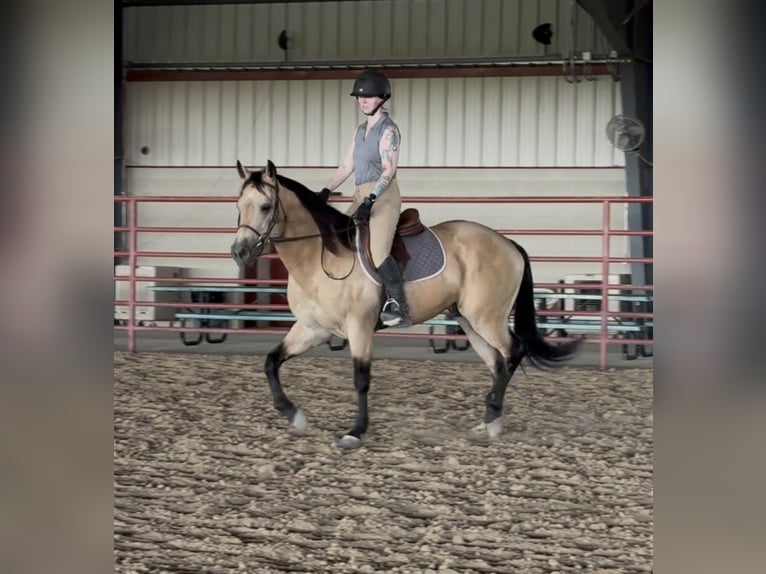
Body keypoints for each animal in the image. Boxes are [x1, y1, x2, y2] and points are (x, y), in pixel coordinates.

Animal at [230, 160, 580, 450]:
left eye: (265, 206)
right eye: (239, 205)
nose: (239, 252)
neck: (322, 258)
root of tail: (507, 242)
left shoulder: (359, 328)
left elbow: (361, 379)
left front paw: (355, 432)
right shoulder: (312, 329)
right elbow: (271, 362)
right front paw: (294, 415)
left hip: (486, 317)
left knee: (514, 351)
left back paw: (493, 415)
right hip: (468, 320)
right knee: (497, 362)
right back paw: (489, 422)